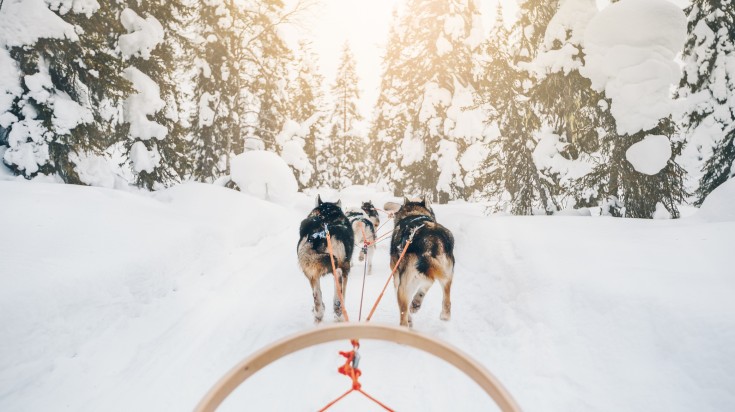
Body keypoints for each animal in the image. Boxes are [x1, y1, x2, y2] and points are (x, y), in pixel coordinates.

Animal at [300, 195, 356, 324]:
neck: (327, 214)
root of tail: (318, 235)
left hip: (311, 270)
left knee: (317, 296)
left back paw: (319, 314)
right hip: (341, 266)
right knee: (338, 280)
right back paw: (338, 310)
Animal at [386, 198, 454, 326]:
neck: (415, 213)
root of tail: (430, 240)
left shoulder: (397, 279)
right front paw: (416, 303)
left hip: (403, 286)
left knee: (403, 314)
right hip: (446, 273)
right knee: (446, 296)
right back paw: (443, 314)